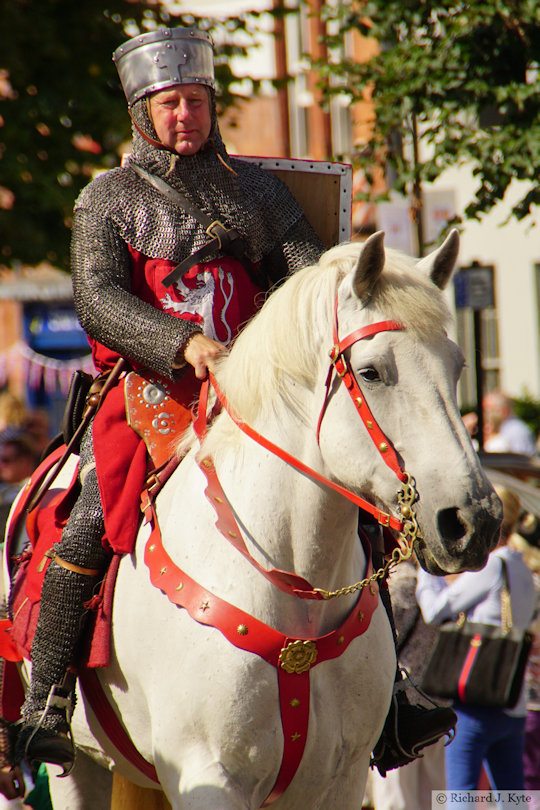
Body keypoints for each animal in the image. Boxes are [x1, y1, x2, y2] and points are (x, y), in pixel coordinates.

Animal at [13, 229, 502, 808]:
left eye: (458, 366)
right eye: (371, 371)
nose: (474, 522)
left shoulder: (337, 780)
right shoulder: (205, 776)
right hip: (81, 767)